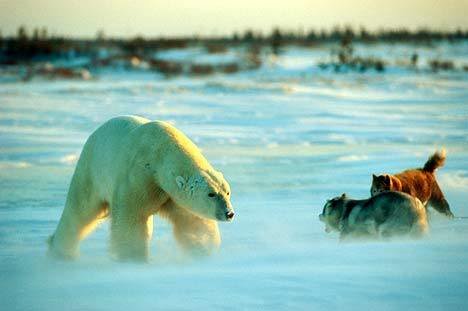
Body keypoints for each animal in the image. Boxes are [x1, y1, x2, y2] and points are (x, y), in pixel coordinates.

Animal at [47, 116, 234, 262]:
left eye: (227, 192)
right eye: (211, 194)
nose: (229, 213)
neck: (161, 152)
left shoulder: (172, 193)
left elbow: (193, 222)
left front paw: (206, 252)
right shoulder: (139, 176)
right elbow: (132, 219)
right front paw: (134, 259)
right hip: (92, 170)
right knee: (80, 210)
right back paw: (60, 251)